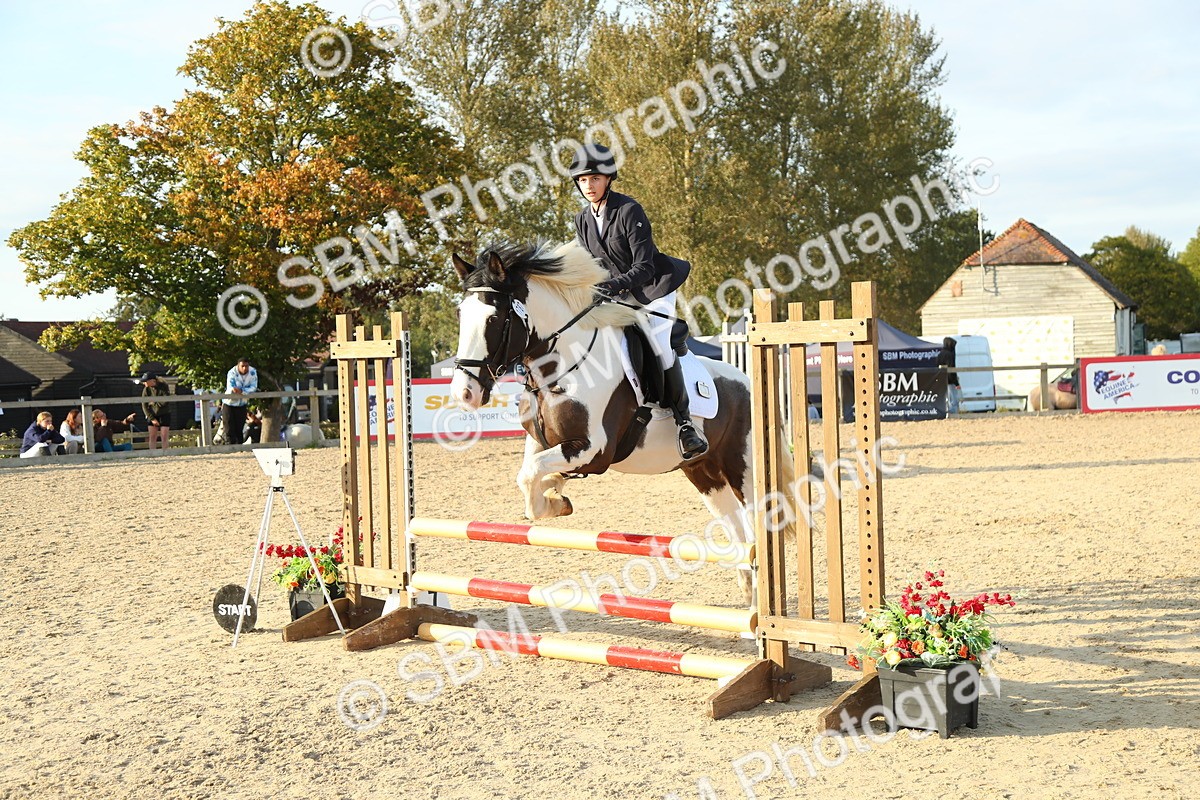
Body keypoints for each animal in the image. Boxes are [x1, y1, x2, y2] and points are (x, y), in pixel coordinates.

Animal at [449, 240, 793, 605]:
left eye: (494, 318)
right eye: (460, 314)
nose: (464, 393)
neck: (563, 365)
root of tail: (747, 380)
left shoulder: (594, 451)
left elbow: (531, 473)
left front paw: (555, 494)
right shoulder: (543, 441)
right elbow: (530, 478)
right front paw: (556, 498)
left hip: (743, 469)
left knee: (759, 524)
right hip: (704, 473)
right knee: (739, 530)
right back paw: (749, 597)